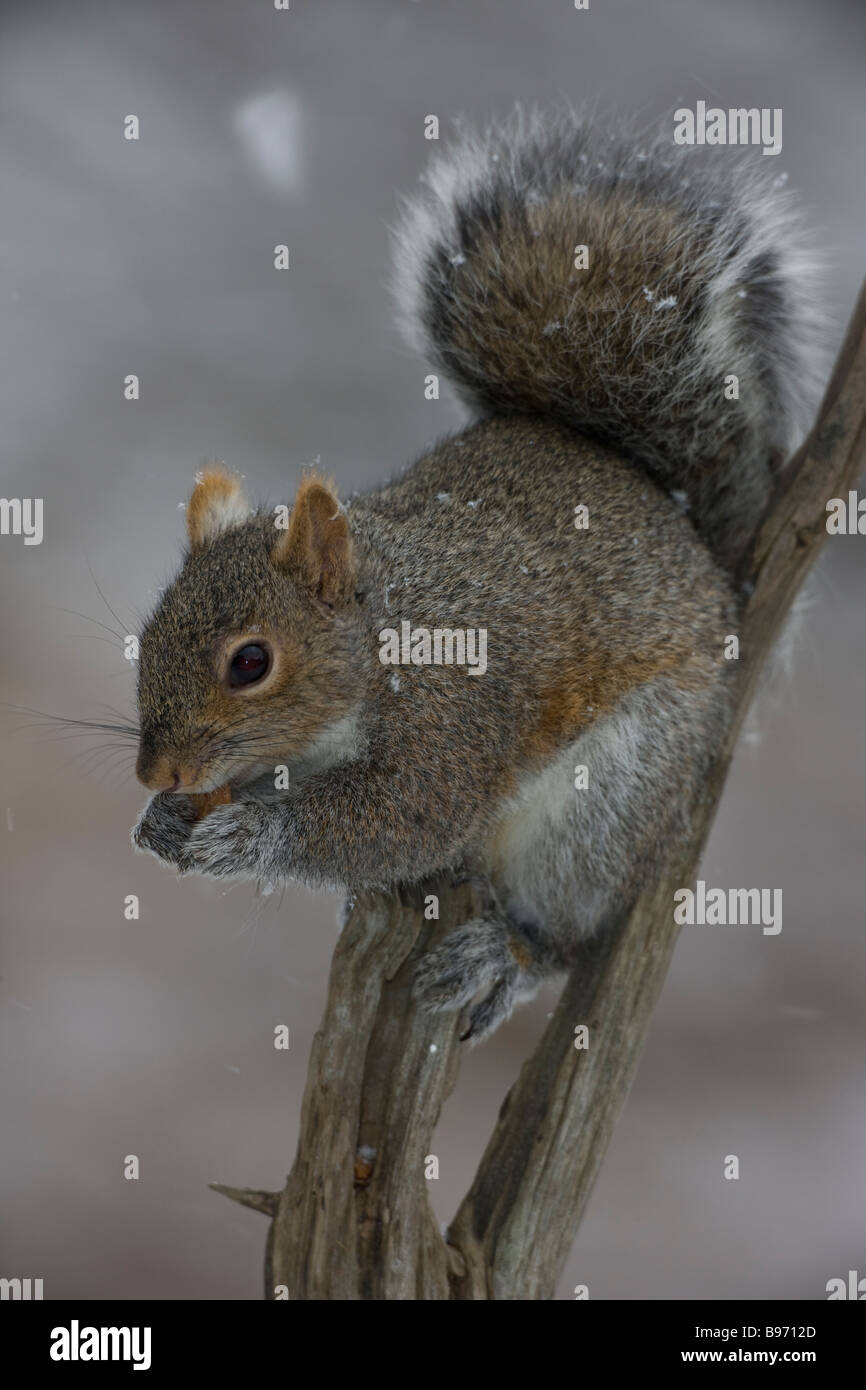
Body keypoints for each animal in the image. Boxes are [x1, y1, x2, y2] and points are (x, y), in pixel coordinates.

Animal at [132, 111, 822, 1045]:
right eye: (147, 635)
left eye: (250, 662)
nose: (156, 774)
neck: (383, 636)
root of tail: (704, 559)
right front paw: (168, 821)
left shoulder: (452, 725)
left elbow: (399, 819)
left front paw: (247, 839)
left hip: (609, 802)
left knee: (563, 926)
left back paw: (505, 959)